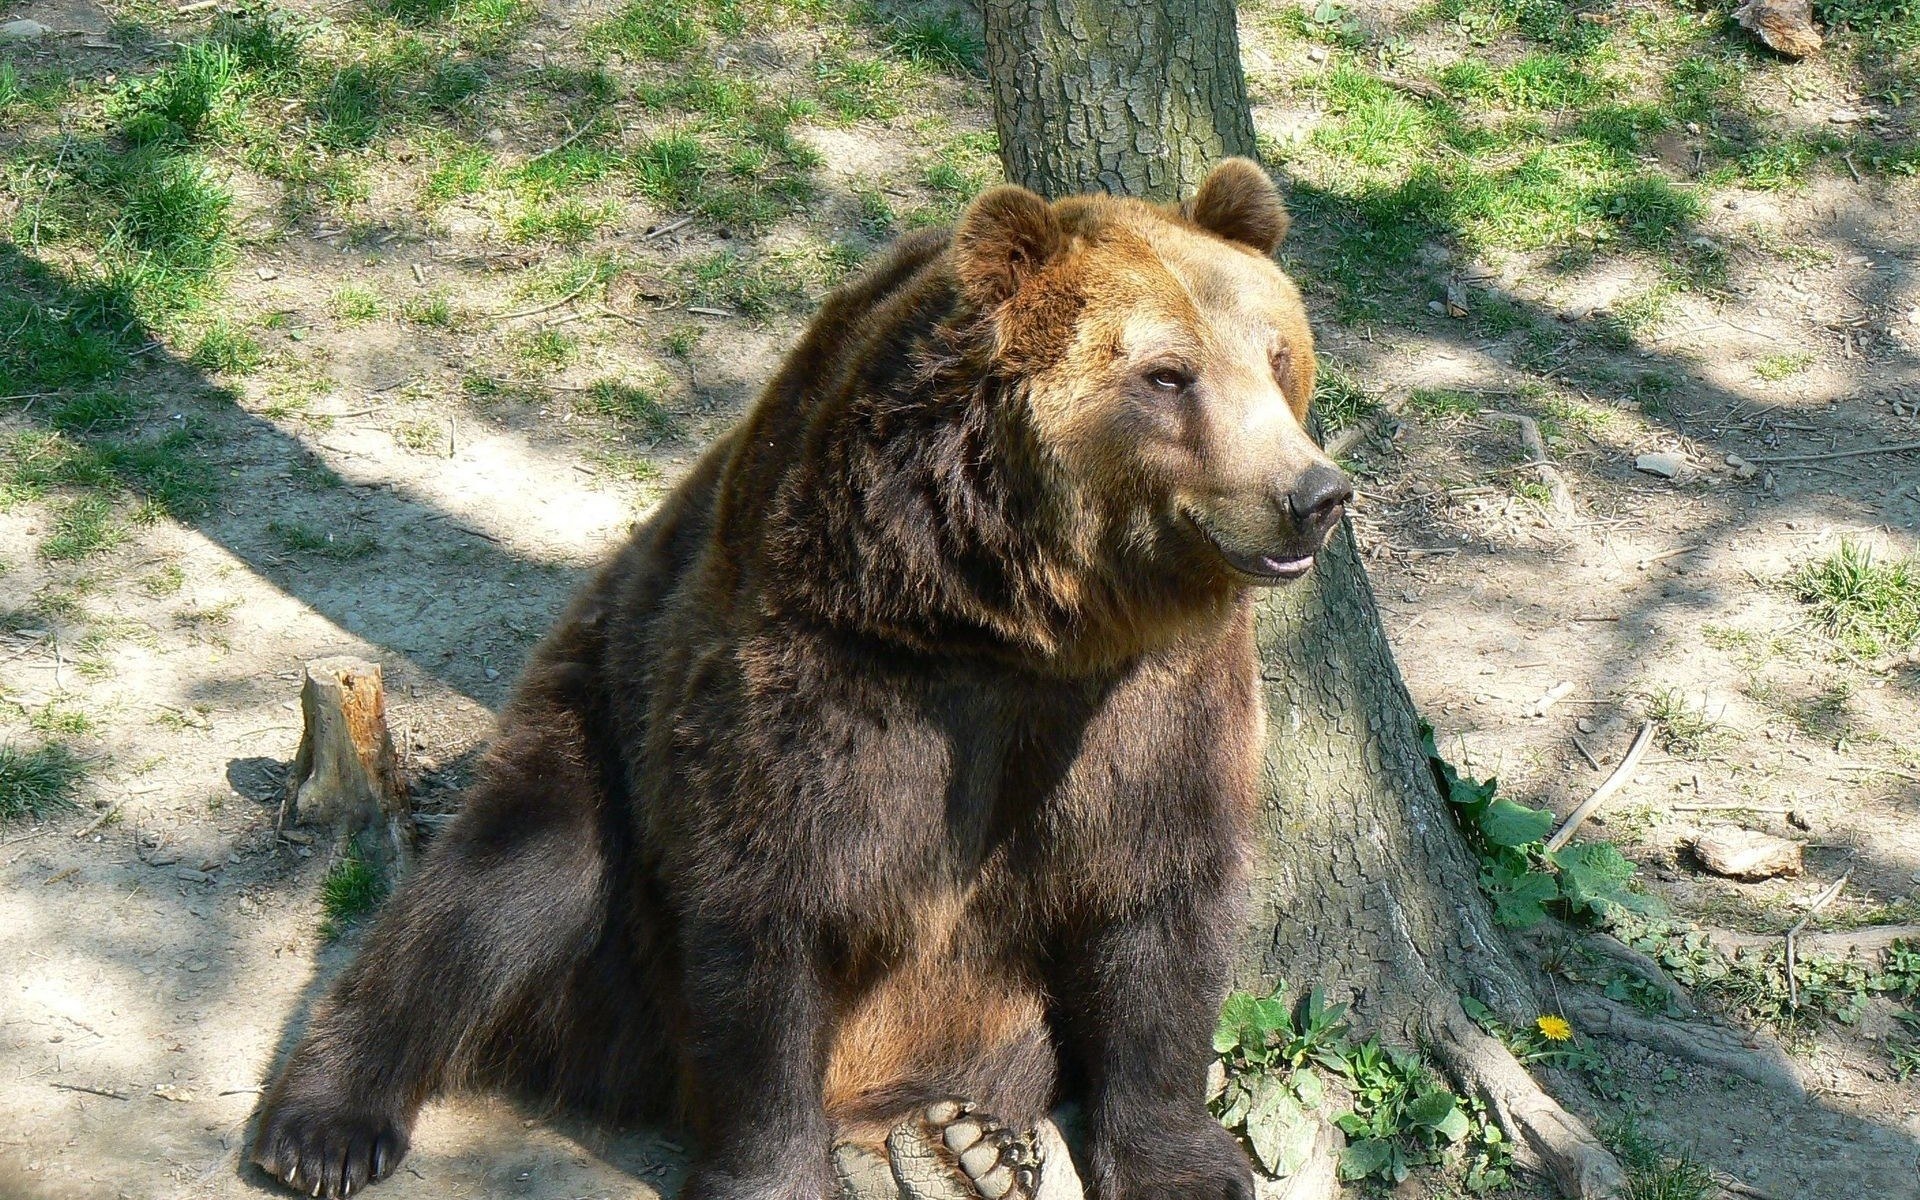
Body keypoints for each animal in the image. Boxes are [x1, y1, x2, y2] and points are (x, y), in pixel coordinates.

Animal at [248, 157, 1351, 1200]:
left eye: (1276, 355)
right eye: (1168, 375)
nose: (1314, 494)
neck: (1021, 617)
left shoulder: (1149, 700)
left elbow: (1158, 902)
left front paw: (1185, 1161)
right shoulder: (838, 664)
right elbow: (774, 897)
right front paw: (771, 1173)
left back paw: (956, 1145)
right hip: (598, 726)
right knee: (498, 884)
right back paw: (321, 1125)